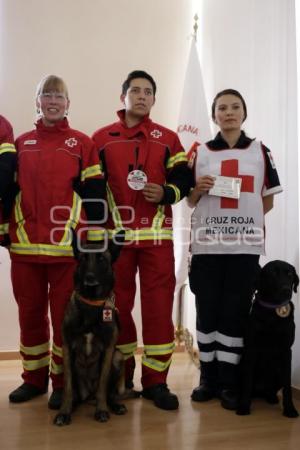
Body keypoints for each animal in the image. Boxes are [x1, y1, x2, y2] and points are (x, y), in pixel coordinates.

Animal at [54, 237, 127, 428]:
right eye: (83, 259)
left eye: (101, 259)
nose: (90, 279)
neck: (91, 304)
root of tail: (88, 396)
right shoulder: (66, 348)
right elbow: (68, 387)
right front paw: (64, 412)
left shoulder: (108, 350)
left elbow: (103, 385)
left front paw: (101, 410)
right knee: (75, 394)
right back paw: (73, 404)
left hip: (118, 356)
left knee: (109, 392)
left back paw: (114, 405)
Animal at [238, 260, 298, 418]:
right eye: (273, 274)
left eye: (290, 274)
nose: (286, 290)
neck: (273, 312)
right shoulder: (252, 349)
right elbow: (247, 382)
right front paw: (244, 406)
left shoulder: (286, 350)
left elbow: (288, 386)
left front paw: (290, 409)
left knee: (270, 390)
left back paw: (271, 398)